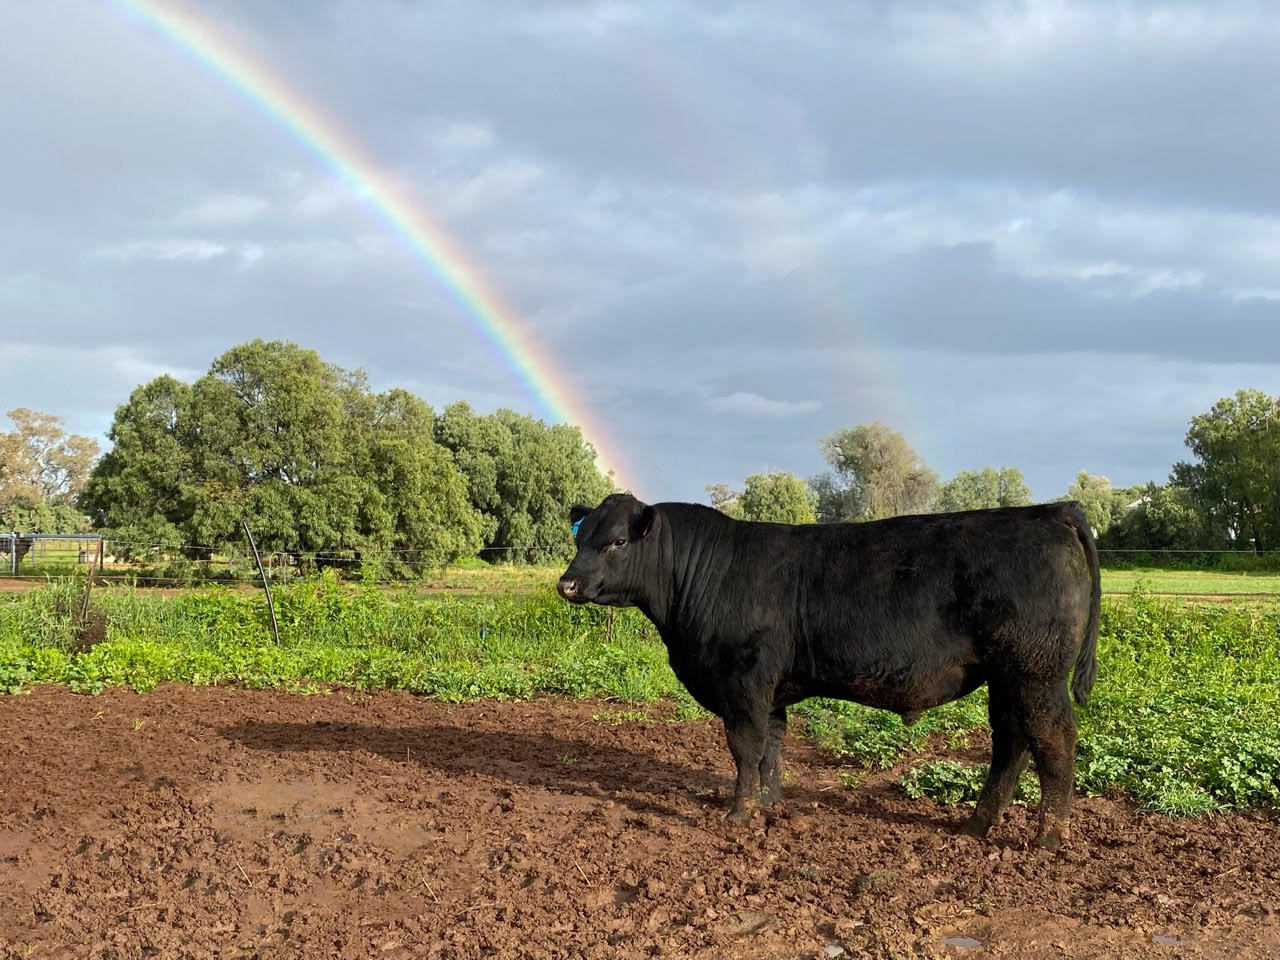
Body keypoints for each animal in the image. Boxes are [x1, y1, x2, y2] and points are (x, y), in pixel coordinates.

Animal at [560, 496, 1100, 849]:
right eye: (581, 536)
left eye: (618, 541)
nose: (567, 584)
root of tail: (1049, 509)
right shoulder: (771, 690)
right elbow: (771, 748)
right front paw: (769, 805)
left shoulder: (743, 682)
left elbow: (745, 747)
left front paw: (739, 814)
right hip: (1007, 678)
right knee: (1012, 742)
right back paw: (975, 826)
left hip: (1035, 672)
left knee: (1053, 739)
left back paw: (1047, 838)